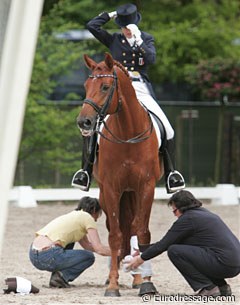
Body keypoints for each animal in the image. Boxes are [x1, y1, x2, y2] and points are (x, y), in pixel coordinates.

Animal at [77, 52, 163, 294]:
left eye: (105, 87)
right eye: (86, 86)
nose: (84, 122)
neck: (127, 133)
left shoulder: (146, 188)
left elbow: (142, 233)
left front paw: (146, 281)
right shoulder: (111, 188)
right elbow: (115, 236)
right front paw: (113, 284)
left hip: (132, 192)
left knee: (132, 227)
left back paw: (137, 277)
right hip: (109, 194)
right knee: (118, 230)